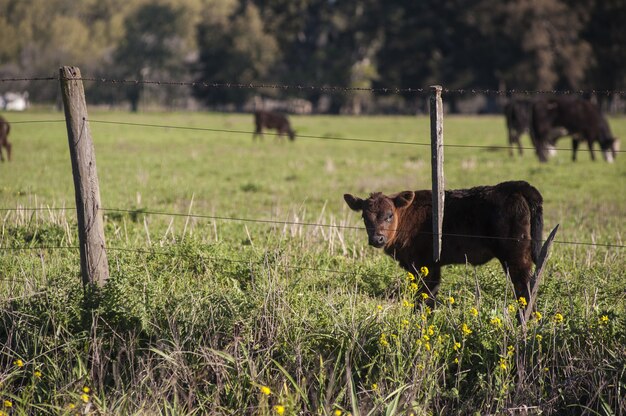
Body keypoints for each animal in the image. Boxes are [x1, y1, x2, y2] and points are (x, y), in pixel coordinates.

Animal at [344, 181, 544, 308]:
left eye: (389, 215)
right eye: (364, 217)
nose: (377, 239)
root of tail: (515, 187)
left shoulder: (426, 265)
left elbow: (425, 298)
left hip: (516, 257)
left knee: (524, 289)